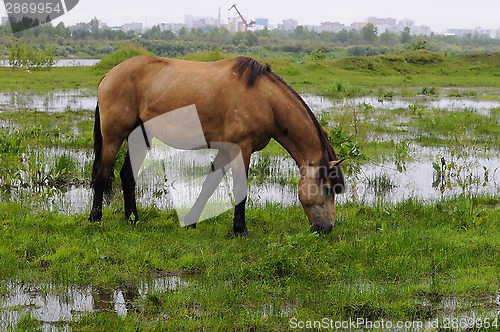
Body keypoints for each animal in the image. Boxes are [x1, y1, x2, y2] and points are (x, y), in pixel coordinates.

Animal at [90, 55, 344, 233]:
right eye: (329, 189)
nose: (327, 228)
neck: (265, 100)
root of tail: (108, 76)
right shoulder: (242, 149)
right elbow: (240, 189)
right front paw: (240, 229)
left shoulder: (226, 149)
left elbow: (209, 185)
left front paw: (191, 221)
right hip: (114, 136)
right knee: (102, 173)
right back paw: (95, 218)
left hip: (140, 135)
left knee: (127, 175)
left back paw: (133, 219)